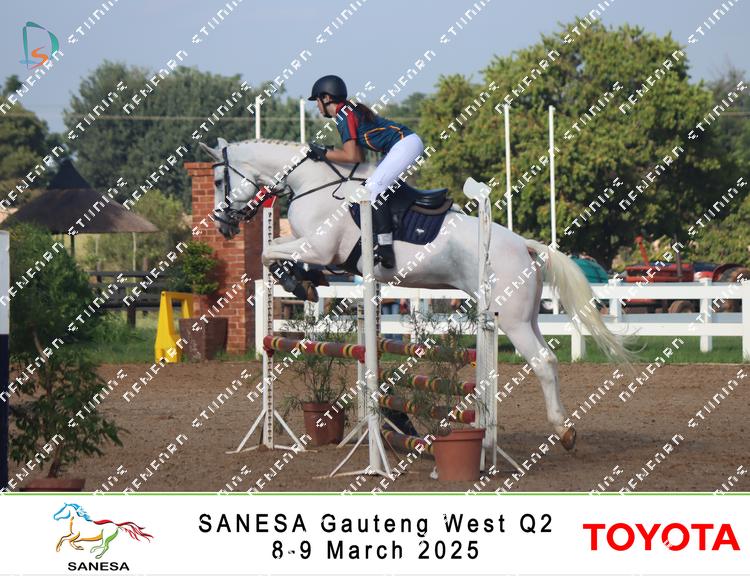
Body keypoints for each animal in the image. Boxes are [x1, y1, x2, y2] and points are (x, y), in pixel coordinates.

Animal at [199, 137, 633, 450]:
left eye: (219, 181)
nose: (221, 225)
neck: (313, 186)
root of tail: (524, 245)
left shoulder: (319, 248)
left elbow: (268, 253)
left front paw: (297, 281)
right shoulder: (324, 254)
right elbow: (275, 252)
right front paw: (306, 282)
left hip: (509, 318)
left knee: (542, 363)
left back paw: (562, 432)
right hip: (525, 316)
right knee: (551, 360)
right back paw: (562, 427)